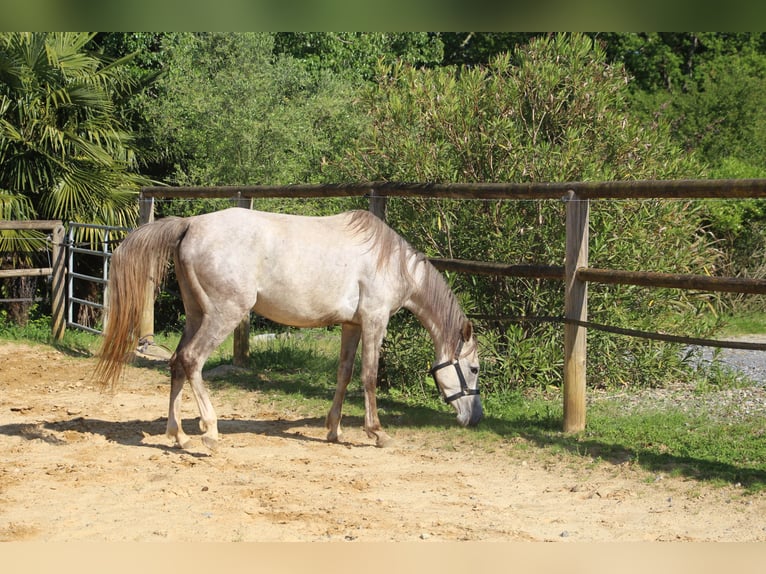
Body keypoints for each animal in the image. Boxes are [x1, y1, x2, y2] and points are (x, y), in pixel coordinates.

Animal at [94, 209, 480, 452]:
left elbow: (344, 374)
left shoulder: (351, 325)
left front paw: (334, 430)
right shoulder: (374, 320)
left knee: (176, 363)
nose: (475, 418)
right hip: (223, 315)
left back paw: (179, 436)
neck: (392, 261)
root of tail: (190, 225)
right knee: (191, 360)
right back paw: (211, 432)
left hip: (195, 314)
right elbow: (369, 377)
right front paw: (377, 433)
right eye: (474, 369)